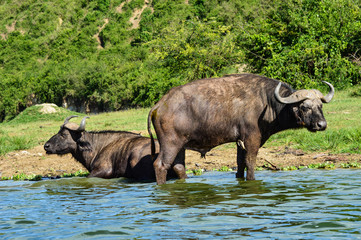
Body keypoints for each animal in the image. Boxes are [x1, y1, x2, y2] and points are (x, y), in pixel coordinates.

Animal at [148, 73, 334, 184]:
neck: (268, 102)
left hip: (181, 146)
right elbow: (250, 162)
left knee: (179, 167)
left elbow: (240, 163)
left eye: (320, 106)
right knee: (161, 164)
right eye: (305, 107)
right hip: (170, 144)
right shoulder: (252, 138)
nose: (322, 125)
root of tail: (159, 105)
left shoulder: (240, 142)